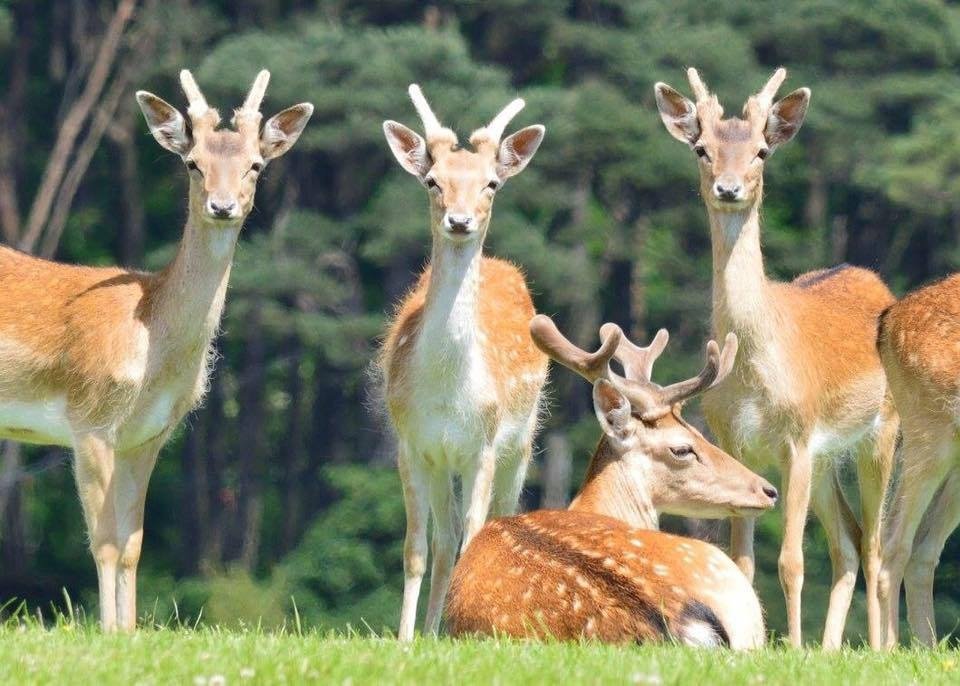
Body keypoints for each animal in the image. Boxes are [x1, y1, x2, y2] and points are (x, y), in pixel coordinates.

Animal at [0, 69, 312, 631]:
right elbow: (103, 541)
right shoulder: (89, 420)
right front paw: (106, 632)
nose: (222, 206)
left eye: (256, 164)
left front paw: (129, 632)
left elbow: (132, 545)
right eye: (193, 163)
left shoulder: (147, 436)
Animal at [379, 85, 548, 641]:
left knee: (499, 518)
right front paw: (407, 636)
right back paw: (434, 628)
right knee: (445, 538)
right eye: (433, 180)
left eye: (491, 183)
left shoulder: (484, 446)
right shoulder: (413, 445)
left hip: (523, 439)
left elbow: (477, 537)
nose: (459, 220)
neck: (449, 395)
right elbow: (418, 548)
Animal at [654, 68, 900, 649]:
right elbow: (743, 562)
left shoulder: (798, 436)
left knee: (875, 545)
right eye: (702, 148)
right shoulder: (733, 440)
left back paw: (877, 646)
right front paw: (761, 644)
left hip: (882, 432)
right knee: (849, 540)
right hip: (830, 458)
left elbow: (790, 561)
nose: (729, 188)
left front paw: (792, 645)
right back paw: (831, 649)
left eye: (762, 151)